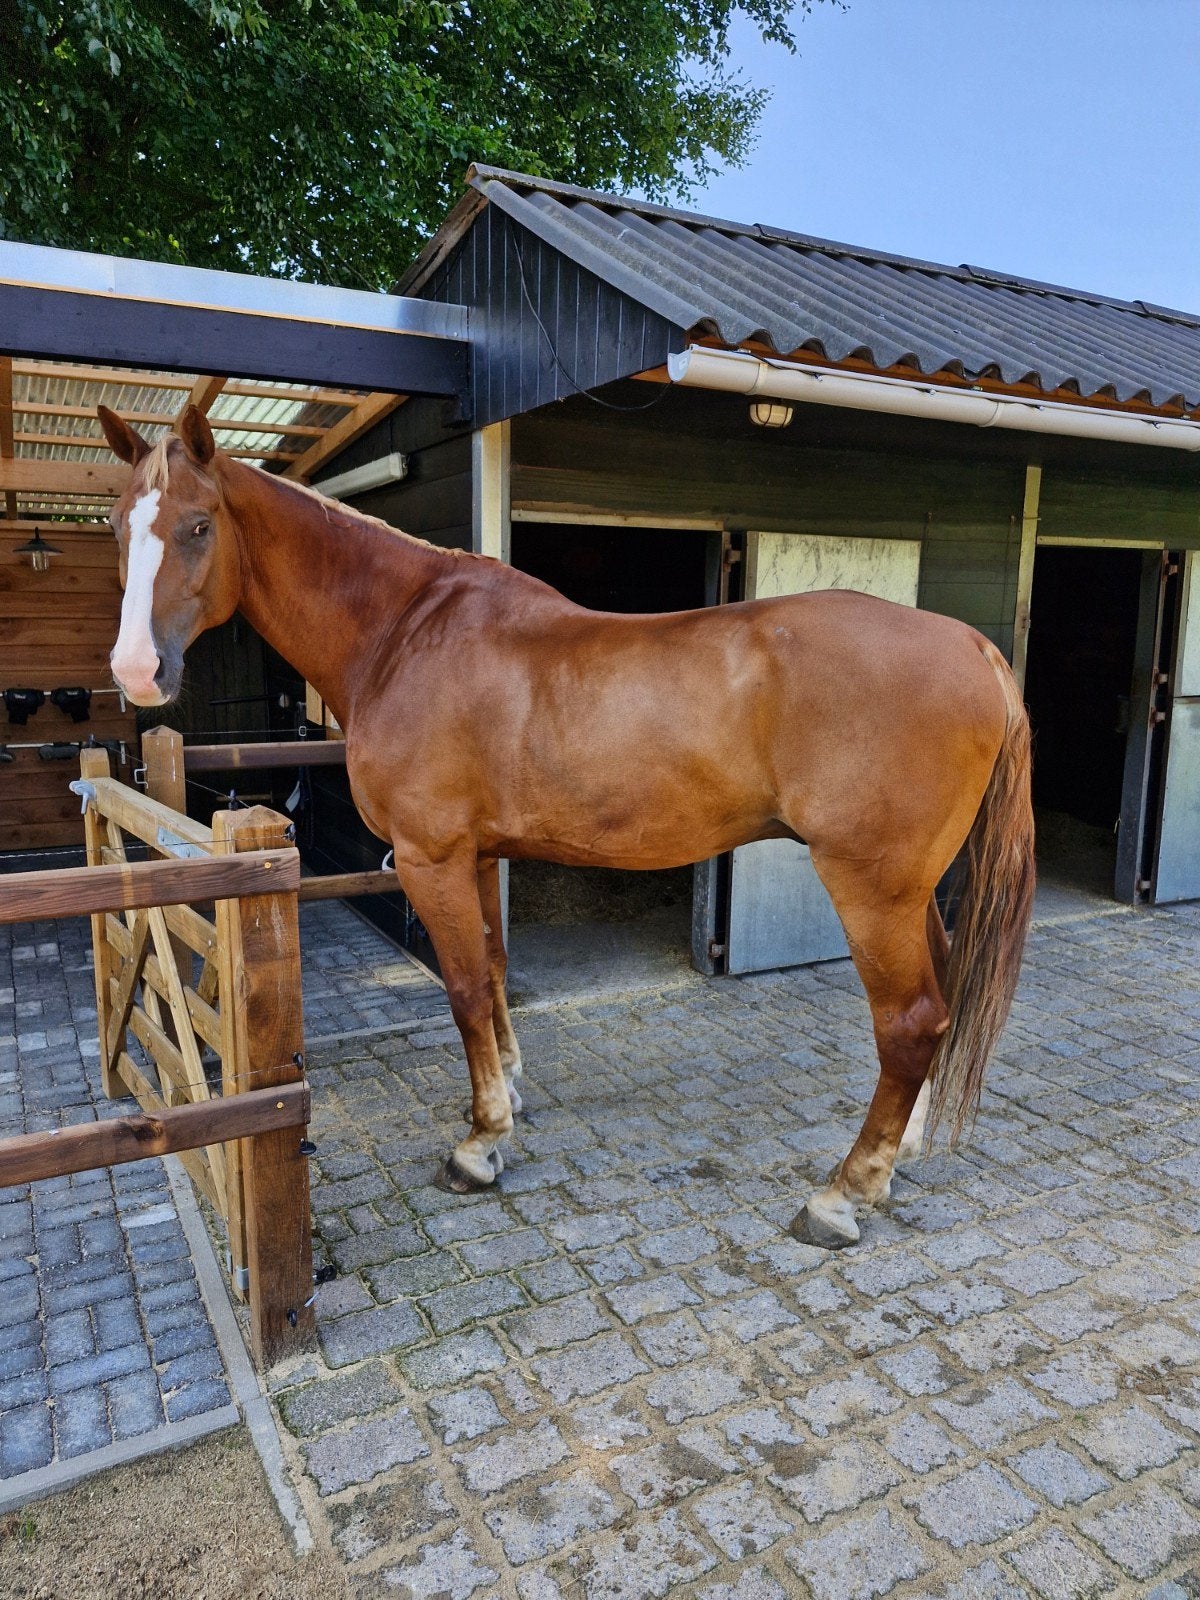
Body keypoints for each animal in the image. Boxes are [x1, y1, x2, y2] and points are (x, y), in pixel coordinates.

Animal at [97, 403, 1036, 1249]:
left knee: (909, 1021)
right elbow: (493, 970)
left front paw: (480, 1144)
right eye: (116, 526)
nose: (137, 672)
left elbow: (463, 986)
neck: (405, 632)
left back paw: (845, 1192)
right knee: (940, 998)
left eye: (197, 525)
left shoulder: (430, 859)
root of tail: (972, 648)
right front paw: (508, 1092)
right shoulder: (476, 856)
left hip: (871, 888)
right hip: (911, 890)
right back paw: (900, 1153)